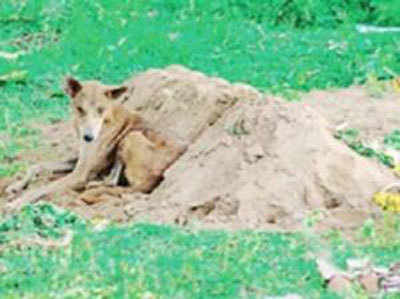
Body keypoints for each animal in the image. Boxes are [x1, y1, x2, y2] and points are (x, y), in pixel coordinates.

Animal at [6, 104, 187, 212]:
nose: (87, 136)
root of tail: (157, 178)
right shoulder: (78, 162)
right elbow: (37, 166)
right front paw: (16, 186)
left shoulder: (80, 174)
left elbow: (40, 189)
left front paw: (17, 202)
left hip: (131, 136)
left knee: (113, 182)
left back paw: (94, 184)